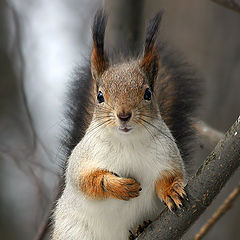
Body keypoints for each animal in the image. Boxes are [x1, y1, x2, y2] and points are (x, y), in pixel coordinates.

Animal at [52, 9, 201, 240]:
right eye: (100, 96)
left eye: (148, 93)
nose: (123, 115)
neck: (127, 142)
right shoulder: (82, 160)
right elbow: (86, 181)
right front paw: (119, 186)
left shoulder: (168, 156)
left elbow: (172, 176)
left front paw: (171, 190)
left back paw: (140, 227)